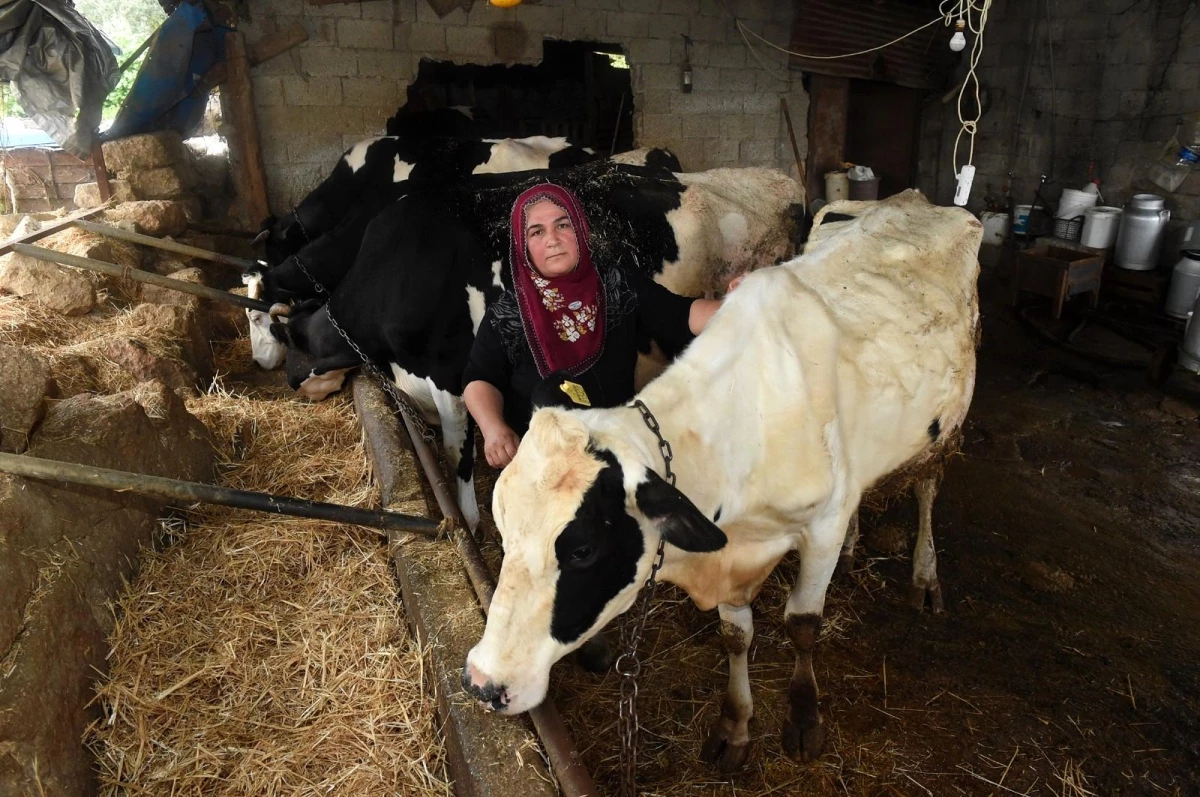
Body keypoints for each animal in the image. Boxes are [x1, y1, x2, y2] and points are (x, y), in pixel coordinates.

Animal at [463, 189, 979, 768]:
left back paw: (925, 576)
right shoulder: (736, 547)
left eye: (582, 551)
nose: (481, 681)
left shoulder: (821, 526)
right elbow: (736, 635)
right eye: (503, 529)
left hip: (946, 433)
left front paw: (804, 718)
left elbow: (802, 625)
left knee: (927, 488)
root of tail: (912, 198)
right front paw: (735, 725)